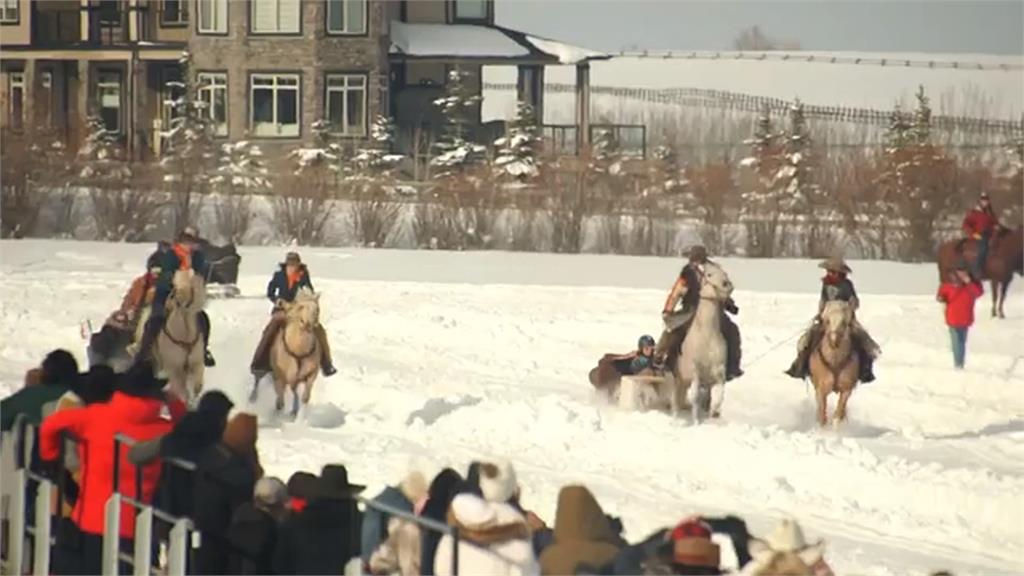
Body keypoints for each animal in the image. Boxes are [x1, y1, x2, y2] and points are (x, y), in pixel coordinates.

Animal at [266, 286, 321, 416]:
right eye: (300, 306)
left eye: (317, 309)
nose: (307, 324)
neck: (299, 351)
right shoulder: (282, 376)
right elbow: (282, 392)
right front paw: (281, 406)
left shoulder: (312, 373)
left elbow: (306, 392)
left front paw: (302, 405)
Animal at [675, 262, 733, 420]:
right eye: (709, 274)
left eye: (725, 273)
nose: (726, 285)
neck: (707, 336)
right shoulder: (695, 373)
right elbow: (694, 399)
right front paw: (695, 420)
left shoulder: (718, 373)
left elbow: (719, 396)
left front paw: (714, 412)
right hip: (679, 380)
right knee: (676, 400)